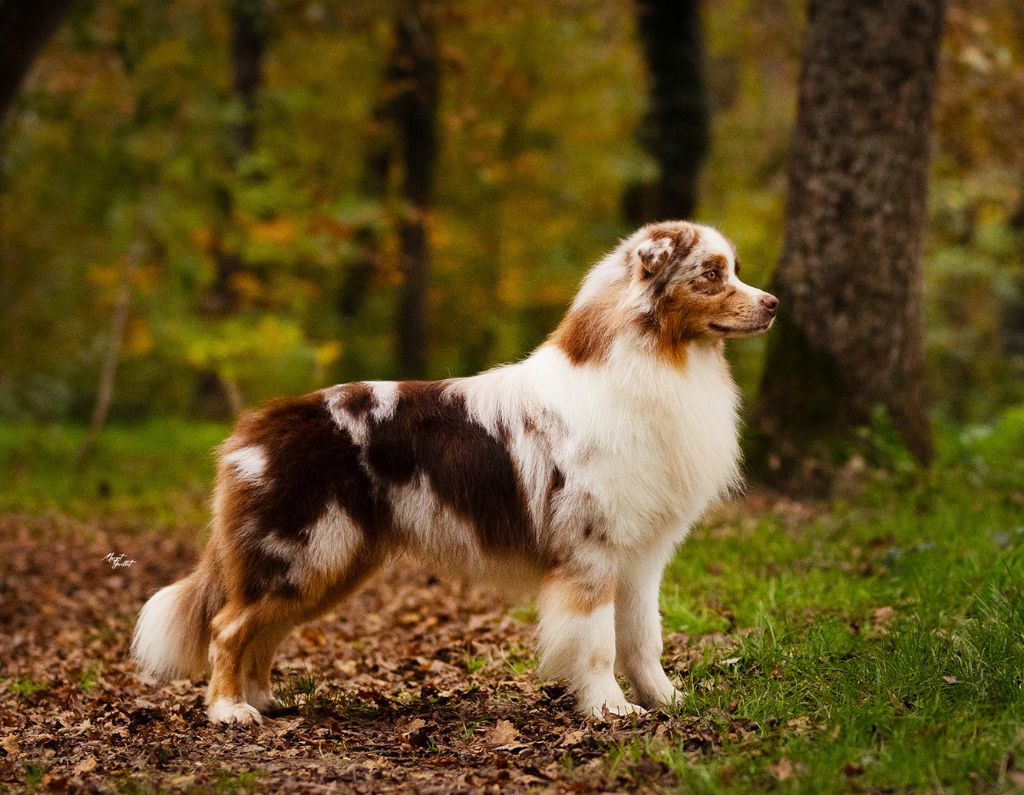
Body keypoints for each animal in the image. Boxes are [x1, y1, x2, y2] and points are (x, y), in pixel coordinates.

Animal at [130, 220, 774, 725]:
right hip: (304, 550)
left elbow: (643, 637)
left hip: (333, 562)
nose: (772, 303)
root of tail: (253, 428)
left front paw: (666, 701)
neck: (658, 359)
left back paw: (264, 700)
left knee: (263, 629)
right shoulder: (591, 551)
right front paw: (608, 708)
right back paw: (229, 710)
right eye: (711, 273)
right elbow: (596, 642)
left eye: (734, 269)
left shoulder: (640, 555)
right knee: (228, 626)